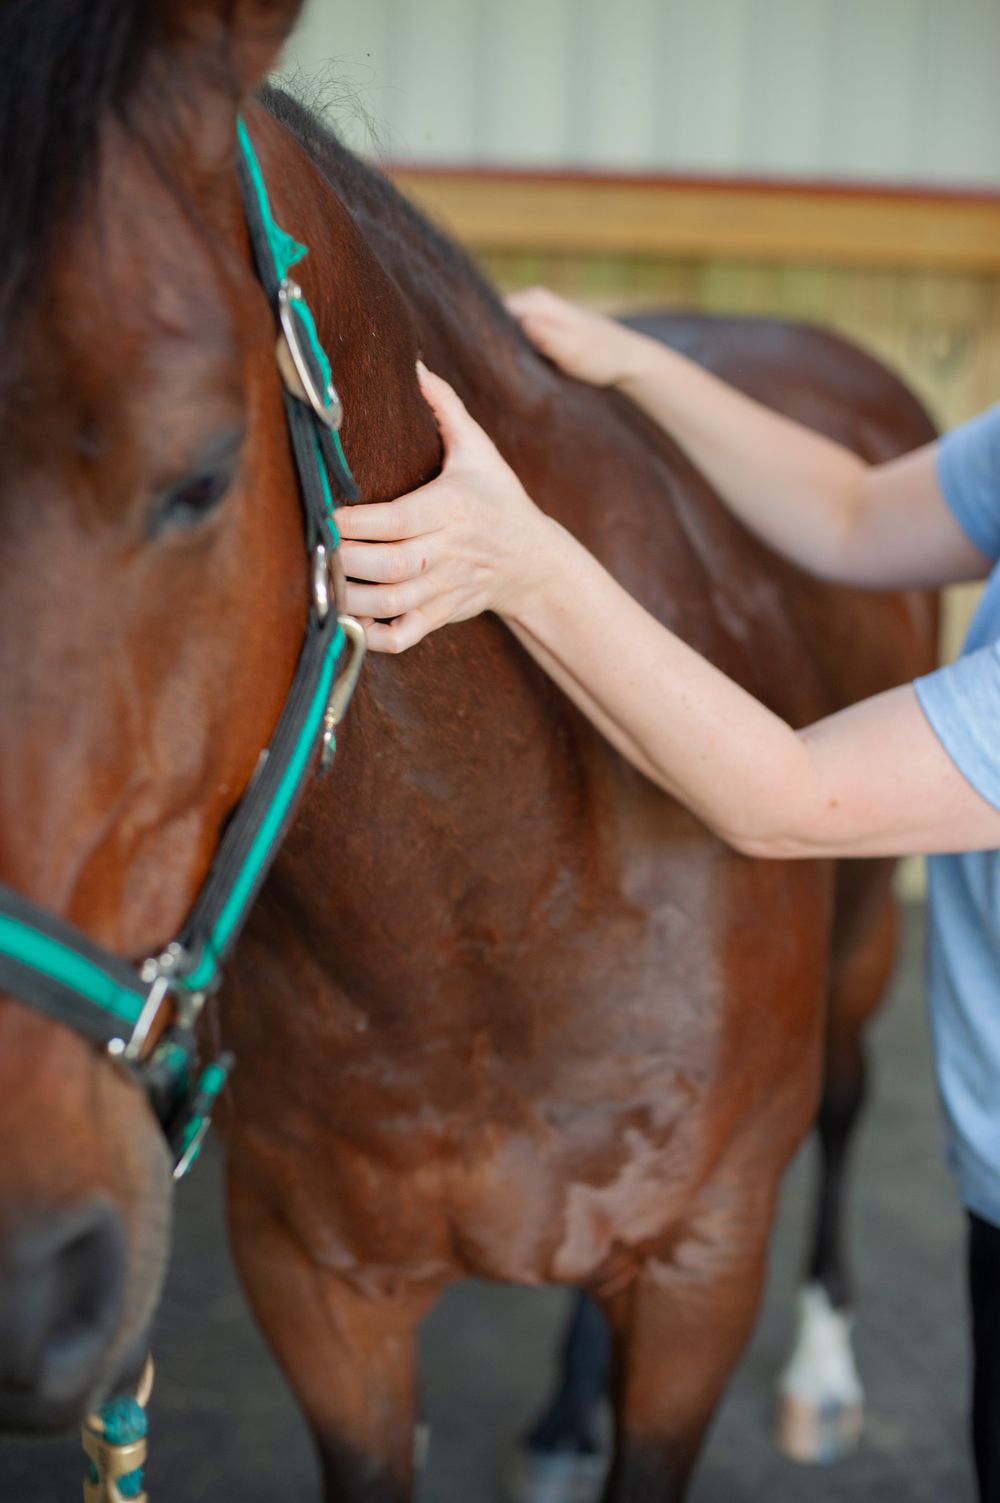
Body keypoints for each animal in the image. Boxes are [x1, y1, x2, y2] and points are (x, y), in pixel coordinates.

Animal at [0, 2, 937, 1500]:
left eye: (197, 476)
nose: (23, 1281)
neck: (503, 907)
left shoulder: (703, 1274)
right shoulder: (324, 1296)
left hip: (862, 950)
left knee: (850, 1104)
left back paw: (823, 1376)